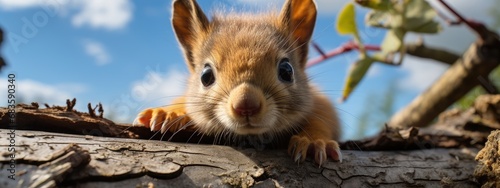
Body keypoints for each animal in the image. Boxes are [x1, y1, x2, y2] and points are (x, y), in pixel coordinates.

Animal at [135, 0, 342, 165]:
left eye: (287, 70)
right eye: (205, 76)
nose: (246, 105)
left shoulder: (320, 102)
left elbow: (322, 118)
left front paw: (313, 141)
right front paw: (168, 113)